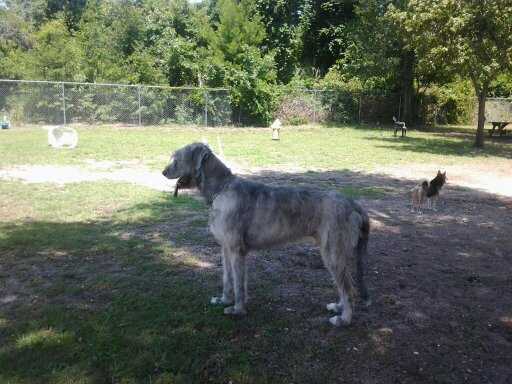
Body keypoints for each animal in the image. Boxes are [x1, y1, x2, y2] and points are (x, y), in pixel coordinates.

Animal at [162, 142, 370, 326]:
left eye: (177, 158)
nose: (163, 172)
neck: (221, 189)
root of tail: (353, 203)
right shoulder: (226, 248)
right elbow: (227, 278)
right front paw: (224, 300)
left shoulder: (236, 249)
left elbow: (238, 283)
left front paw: (237, 310)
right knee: (345, 285)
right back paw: (338, 307)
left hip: (333, 252)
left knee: (348, 288)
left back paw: (344, 319)